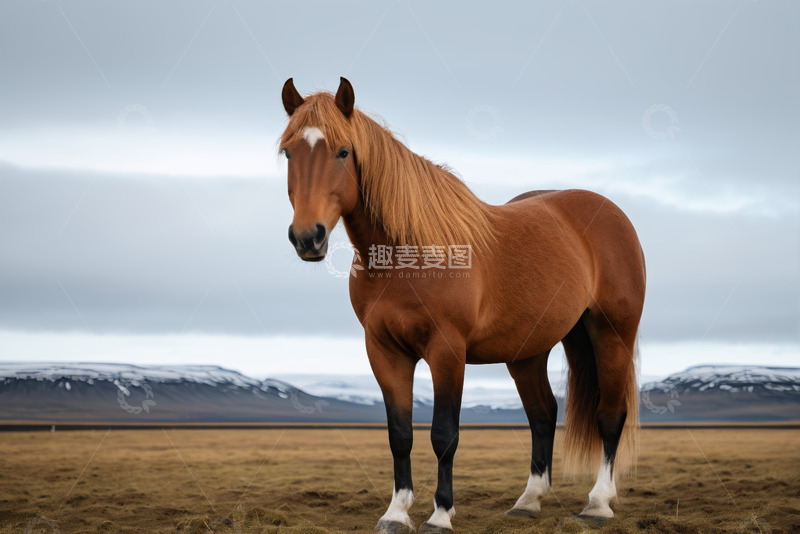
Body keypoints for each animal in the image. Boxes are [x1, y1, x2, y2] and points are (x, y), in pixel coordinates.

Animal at [279, 77, 645, 533]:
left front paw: (440, 514)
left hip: (611, 333)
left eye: (343, 151)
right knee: (543, 414)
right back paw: (528, 501)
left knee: (610, 414)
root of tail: (609, 212)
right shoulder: (384, 352)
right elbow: (399, 434)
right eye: (288, 152)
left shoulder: (446, 351)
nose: (306, 237)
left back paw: (598, 503)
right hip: (530, 350)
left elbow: (444, 434)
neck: (409, 253)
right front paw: (396, 513)